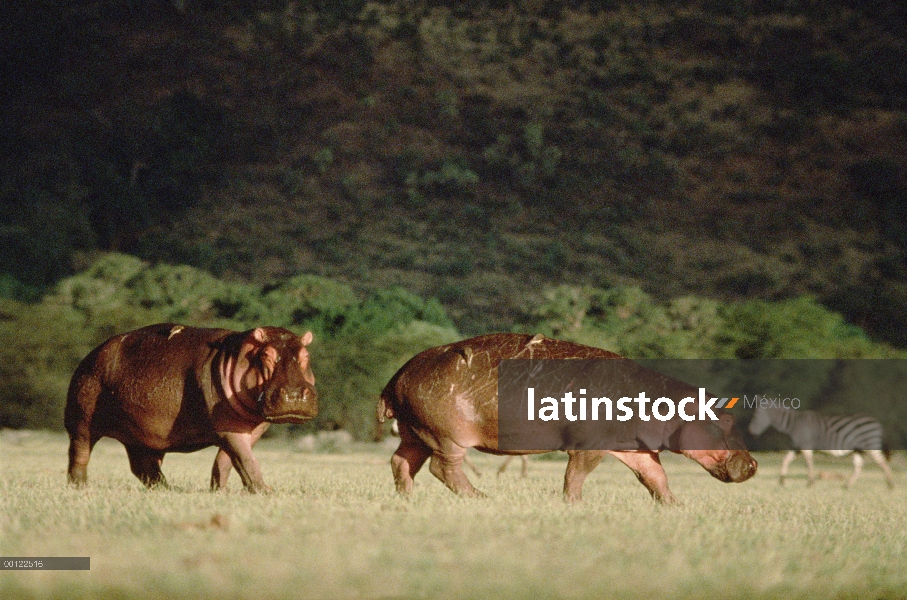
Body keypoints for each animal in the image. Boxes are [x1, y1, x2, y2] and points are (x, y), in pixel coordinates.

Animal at [752, 406, 892, 490]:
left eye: (755, 416)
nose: (751, 431)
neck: (793, 423)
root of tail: (877, 422)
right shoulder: (797, 447)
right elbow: (786, 460)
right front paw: (782, 481)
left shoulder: (805, 444)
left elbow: (809, 462)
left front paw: (810, 482)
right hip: (859, 449)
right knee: (859, 467)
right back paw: (847, 485)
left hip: (870, 443)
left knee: (882, 462)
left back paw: (890, 485)